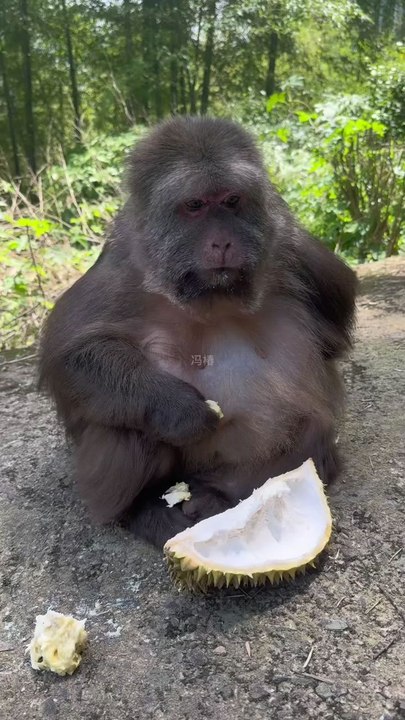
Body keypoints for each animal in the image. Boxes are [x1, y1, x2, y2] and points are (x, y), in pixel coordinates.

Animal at [38, 116, 357, 548]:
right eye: (195, 206)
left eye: (231, 201)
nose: (223, 241)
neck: (209, 292)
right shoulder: (122, 264)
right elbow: (69, 352)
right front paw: (180, 408)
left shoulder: (287, 241)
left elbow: (334, 331)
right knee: (128, 425)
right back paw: (142, 509)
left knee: (310, 426)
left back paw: (220, 497)